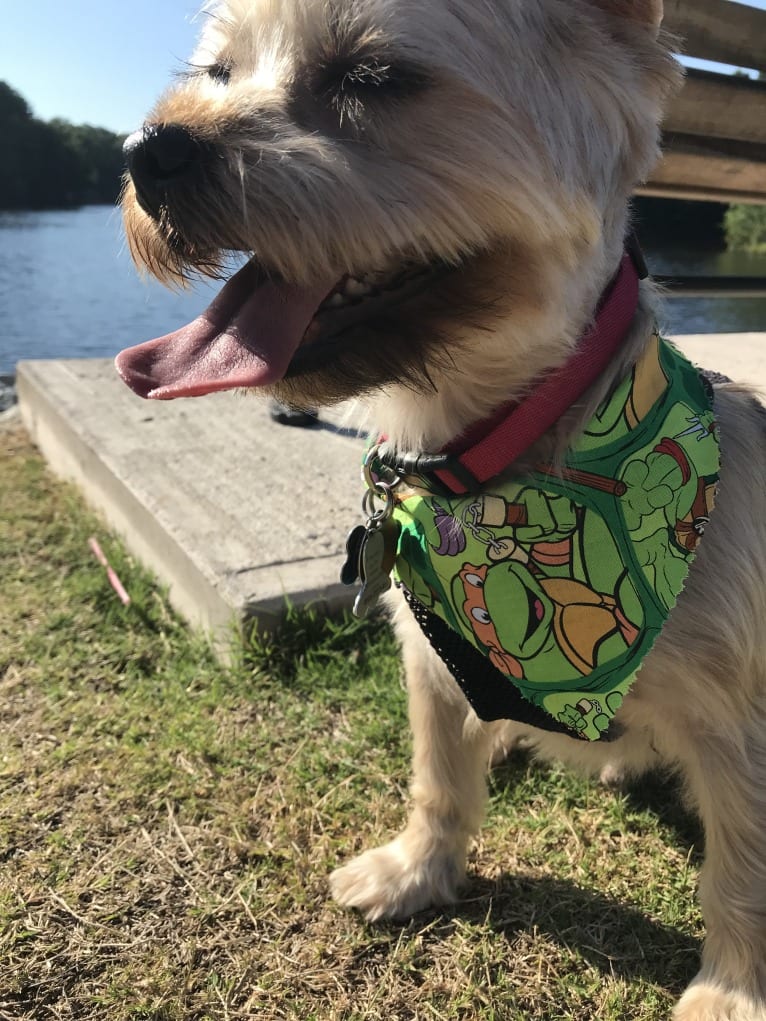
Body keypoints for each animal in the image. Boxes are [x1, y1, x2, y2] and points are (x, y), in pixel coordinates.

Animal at [116, 3, 766, 1016]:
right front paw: (415, 871)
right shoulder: (430, 651)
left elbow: (740, 868)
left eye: (369, 76)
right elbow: (438, 777)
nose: (148, 150)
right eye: (217, 72)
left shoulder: (741, 722)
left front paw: (730, 991)